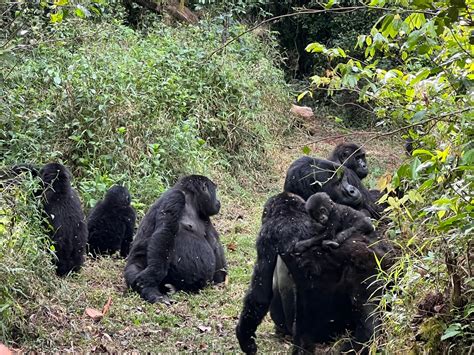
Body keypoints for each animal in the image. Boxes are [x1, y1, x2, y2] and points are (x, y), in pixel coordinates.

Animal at [122, 175, 226, 304]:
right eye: (215, 191)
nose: (218, 202)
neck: (191, 199)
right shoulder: (175, 197)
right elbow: (165, 232)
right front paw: (151, 277)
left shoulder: (205, 215)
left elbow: (214, 243)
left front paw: (221, 277)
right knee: (134, 271)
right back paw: (152, 292)